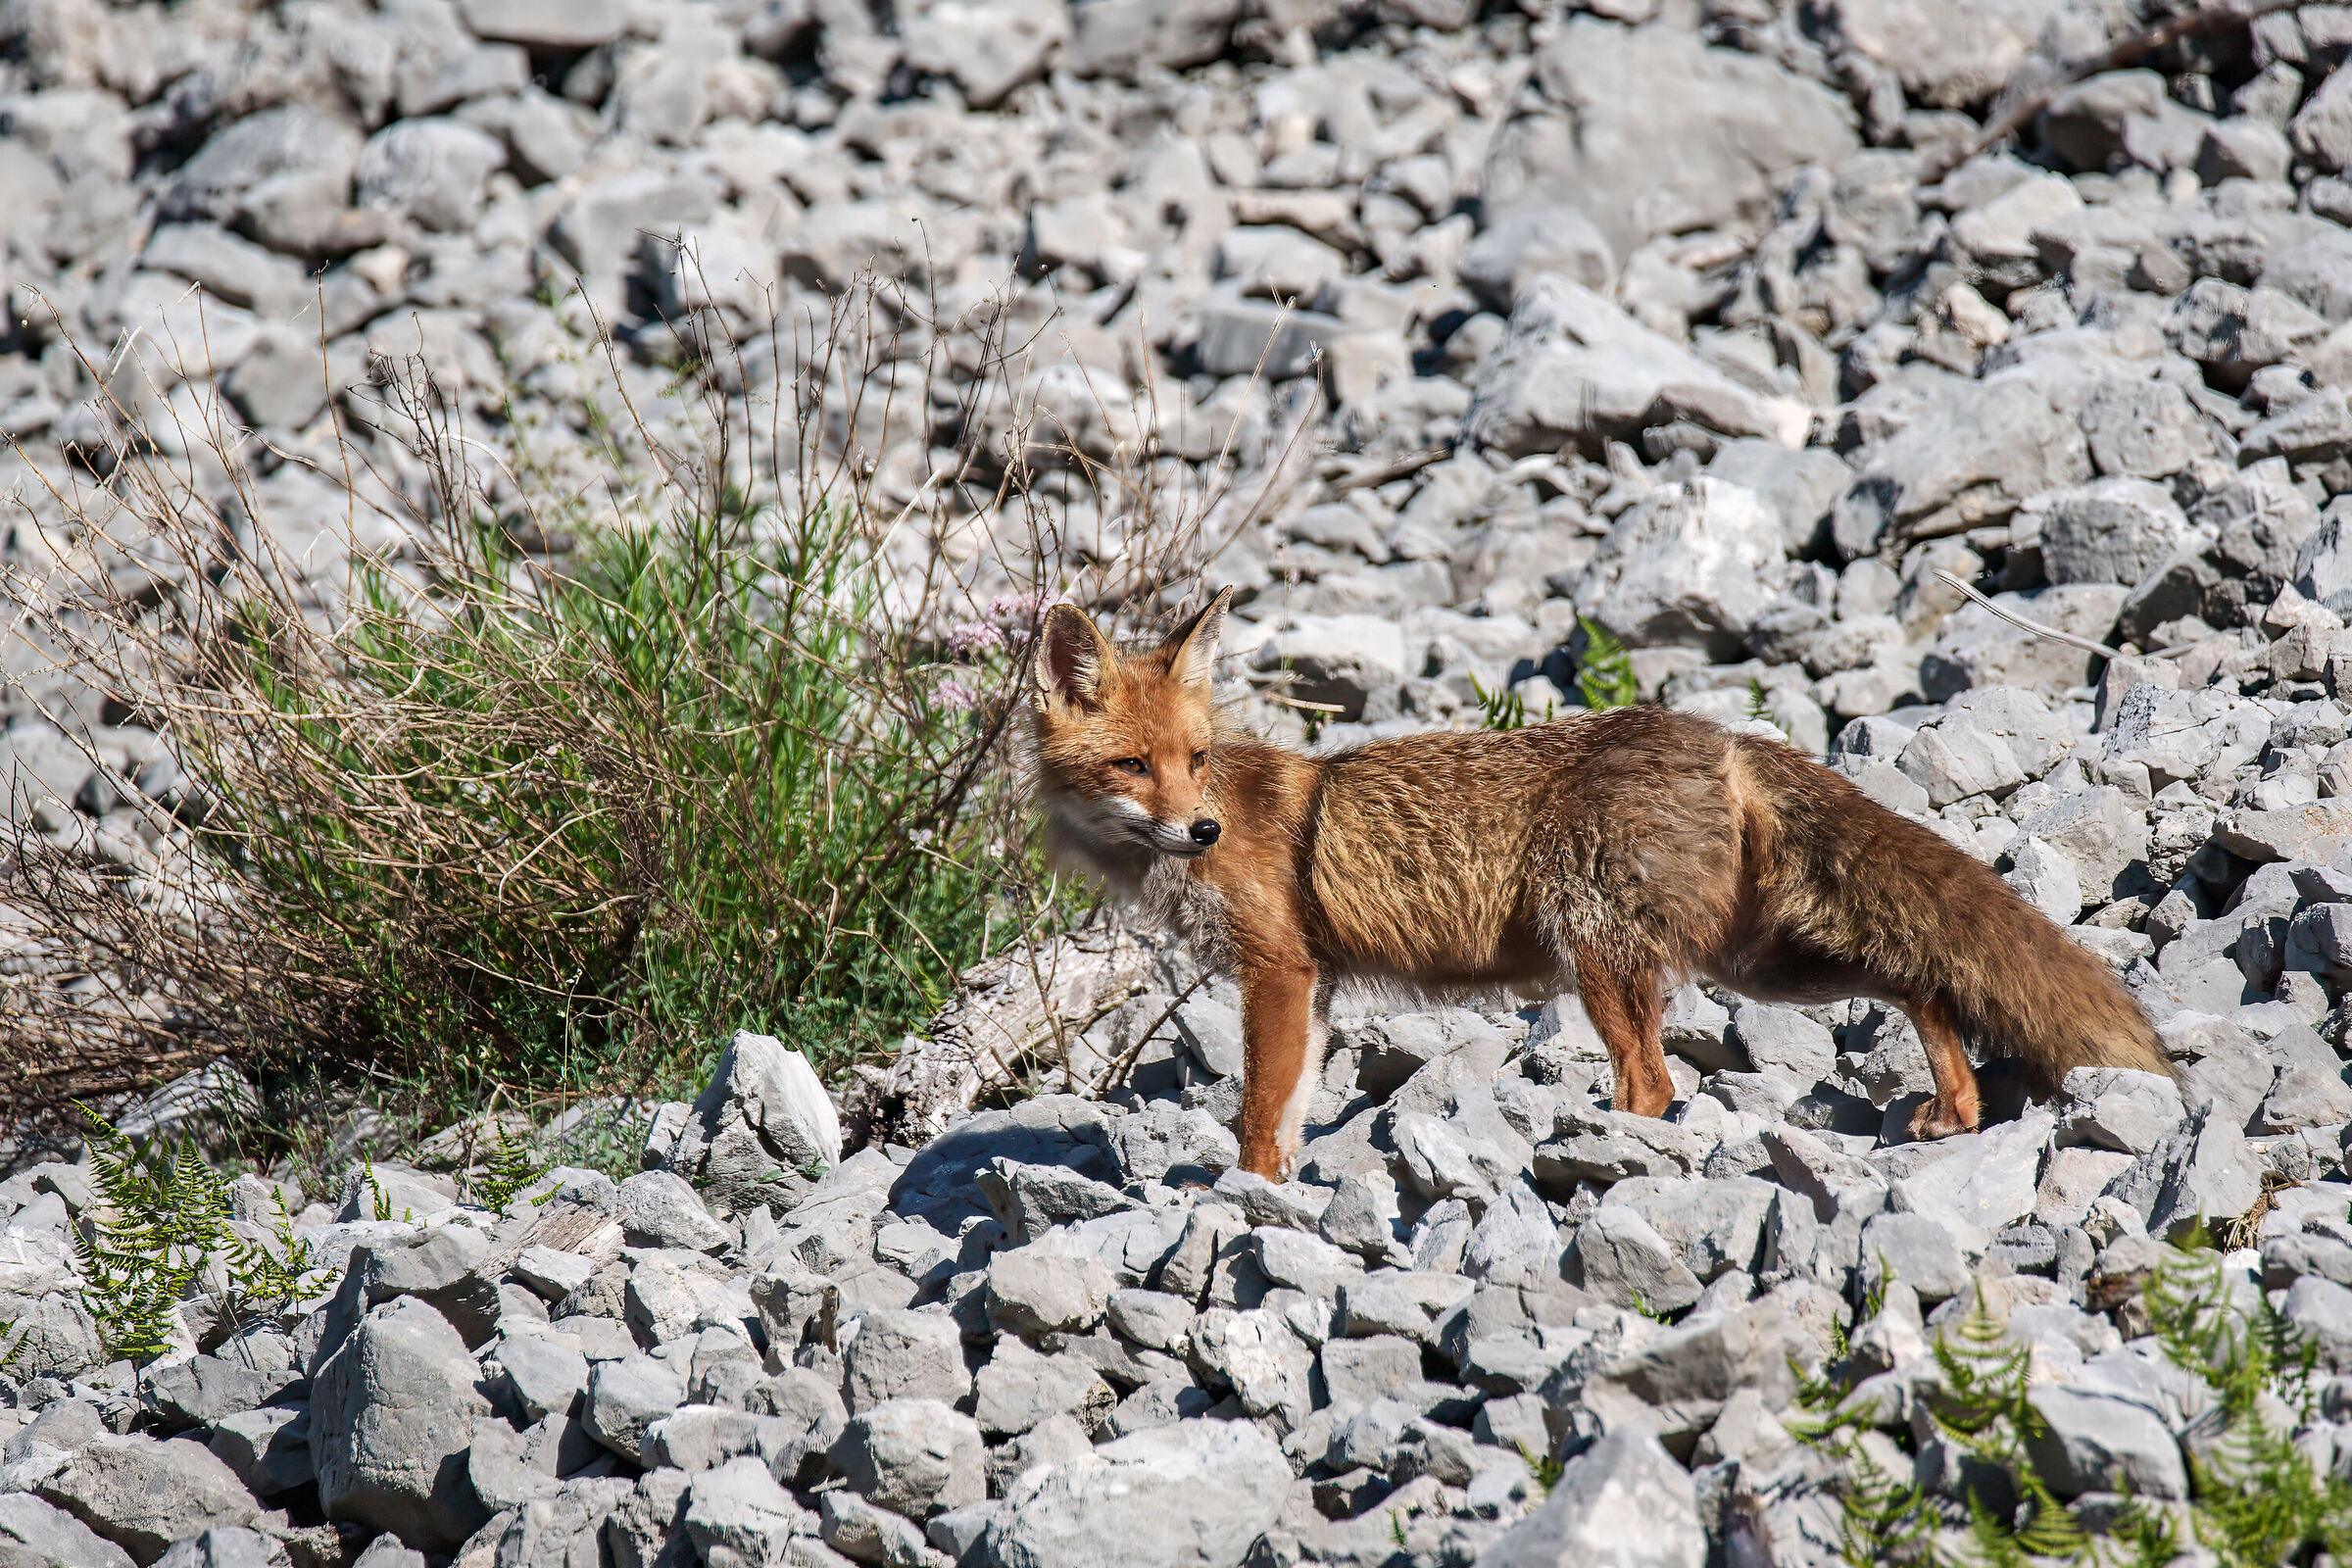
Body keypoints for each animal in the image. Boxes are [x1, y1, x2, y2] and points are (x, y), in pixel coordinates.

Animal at [1027, 586, 2172, 1181]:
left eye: (1194, 758)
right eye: (1135, 765)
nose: (1202, 827)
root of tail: (1714, 733)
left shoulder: (1277, 971)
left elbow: (1259, 1117)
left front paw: (1249, 1198)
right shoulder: (1313, 990)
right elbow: (1296, 1108)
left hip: (1602, 959)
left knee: (1656, 1087)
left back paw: (1601, 1157)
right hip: (1759, 962)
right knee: (1921, 977)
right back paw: (1957, 1107)